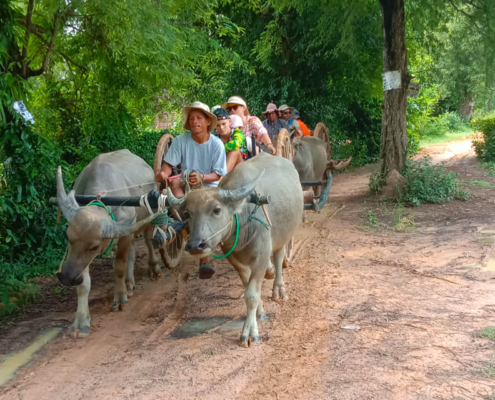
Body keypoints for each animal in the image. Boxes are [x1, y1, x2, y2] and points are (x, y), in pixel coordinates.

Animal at [57, 148, 160, 336]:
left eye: (95, 246)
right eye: (68, 237)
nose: (66, 278)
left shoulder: (124, 235)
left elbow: (119, 266)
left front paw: (120, 299)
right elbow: (84, 283)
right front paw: (81, 320)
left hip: (151, 216)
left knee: (149, 241)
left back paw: (153, 268)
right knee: (132, 253)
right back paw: (129, 283)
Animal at [169, 152, 304, 346]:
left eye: (217, 210)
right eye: (187, 213)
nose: (195, 245)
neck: (244, 216)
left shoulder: (262, 254)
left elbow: (252, 294)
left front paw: (250, 332)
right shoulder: (233, 258)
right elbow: (248, 288)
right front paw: (259, 311)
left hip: (285, 233)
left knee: (279, 258)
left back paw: (279, 288)